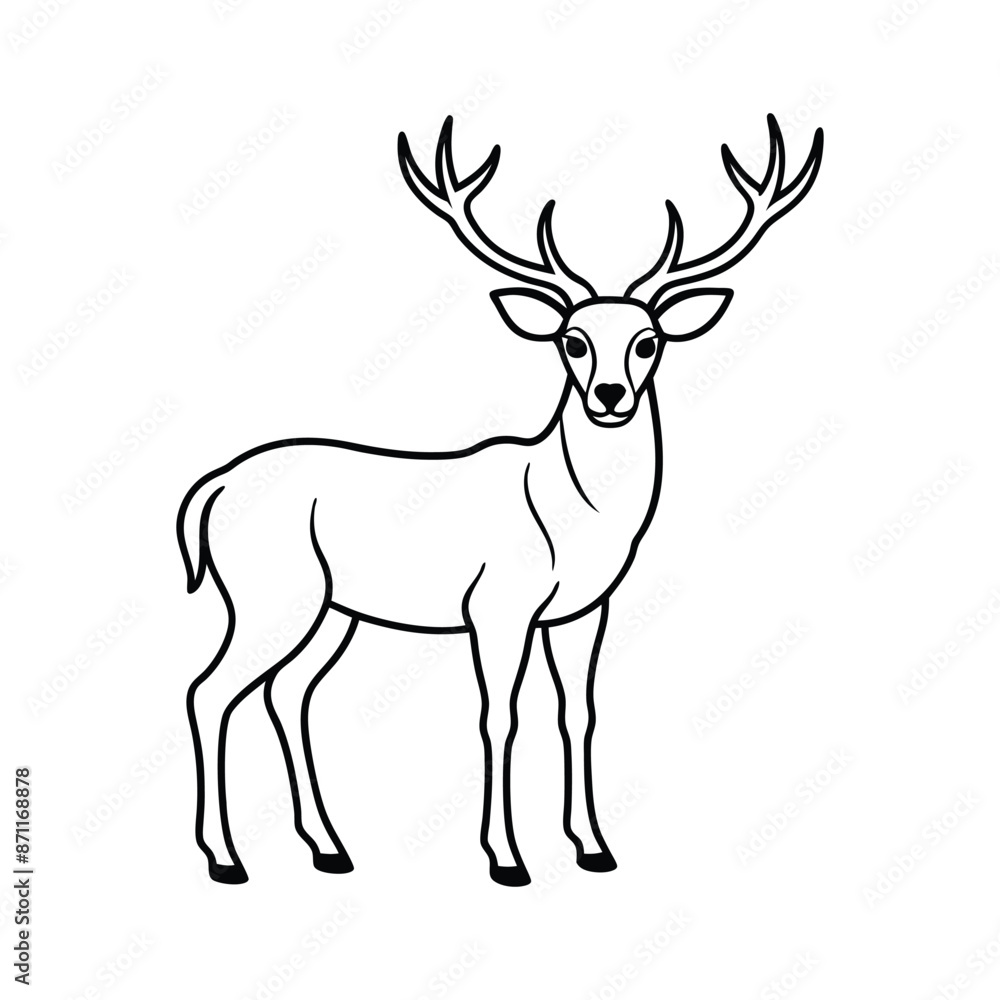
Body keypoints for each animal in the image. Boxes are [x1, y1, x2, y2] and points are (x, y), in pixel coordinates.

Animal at [178, 114, 823, 887]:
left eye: (648, 341)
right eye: (573, 341)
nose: (610, 397)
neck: (571, 517)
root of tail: (214, 485)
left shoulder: (584, 611)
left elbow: (578, 713)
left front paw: (593, 847)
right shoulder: (496, 606)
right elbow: (499, 718)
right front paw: (507, 858)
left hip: (333, 610)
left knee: (288, 692)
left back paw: (330, 847)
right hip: (267, 593)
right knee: (210, 691)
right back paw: (225, 858)